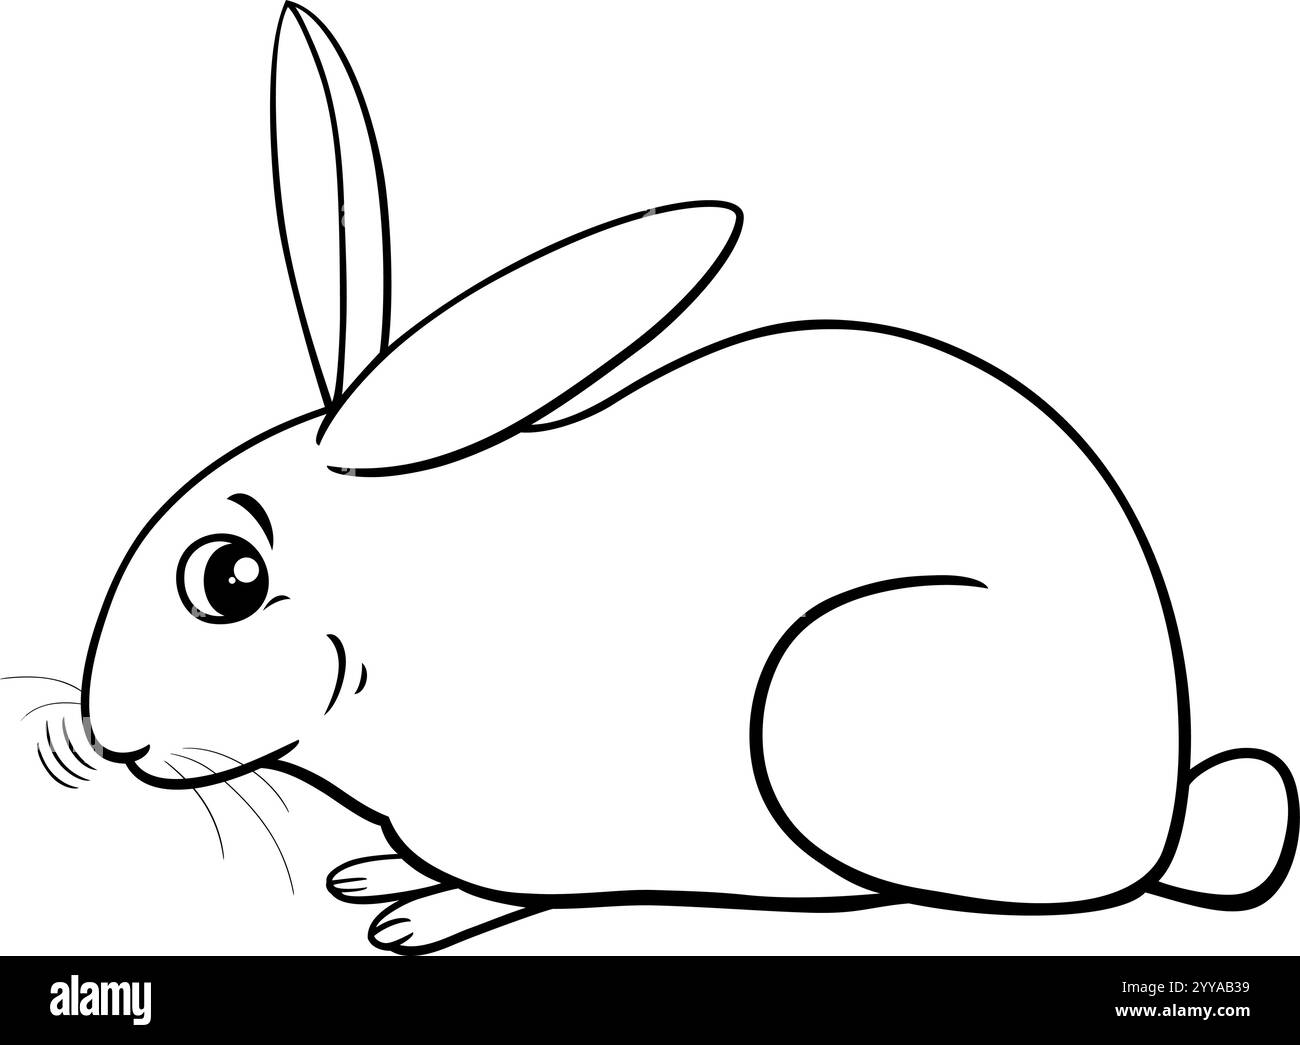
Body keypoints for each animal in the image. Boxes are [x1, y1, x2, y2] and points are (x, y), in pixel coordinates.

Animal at [77, 4, 1296, 955]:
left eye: (228, 580)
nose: (107, 739)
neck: (412, 617)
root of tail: (1156, 820)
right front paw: (380, 874)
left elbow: (503, 894)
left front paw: (418, 915)